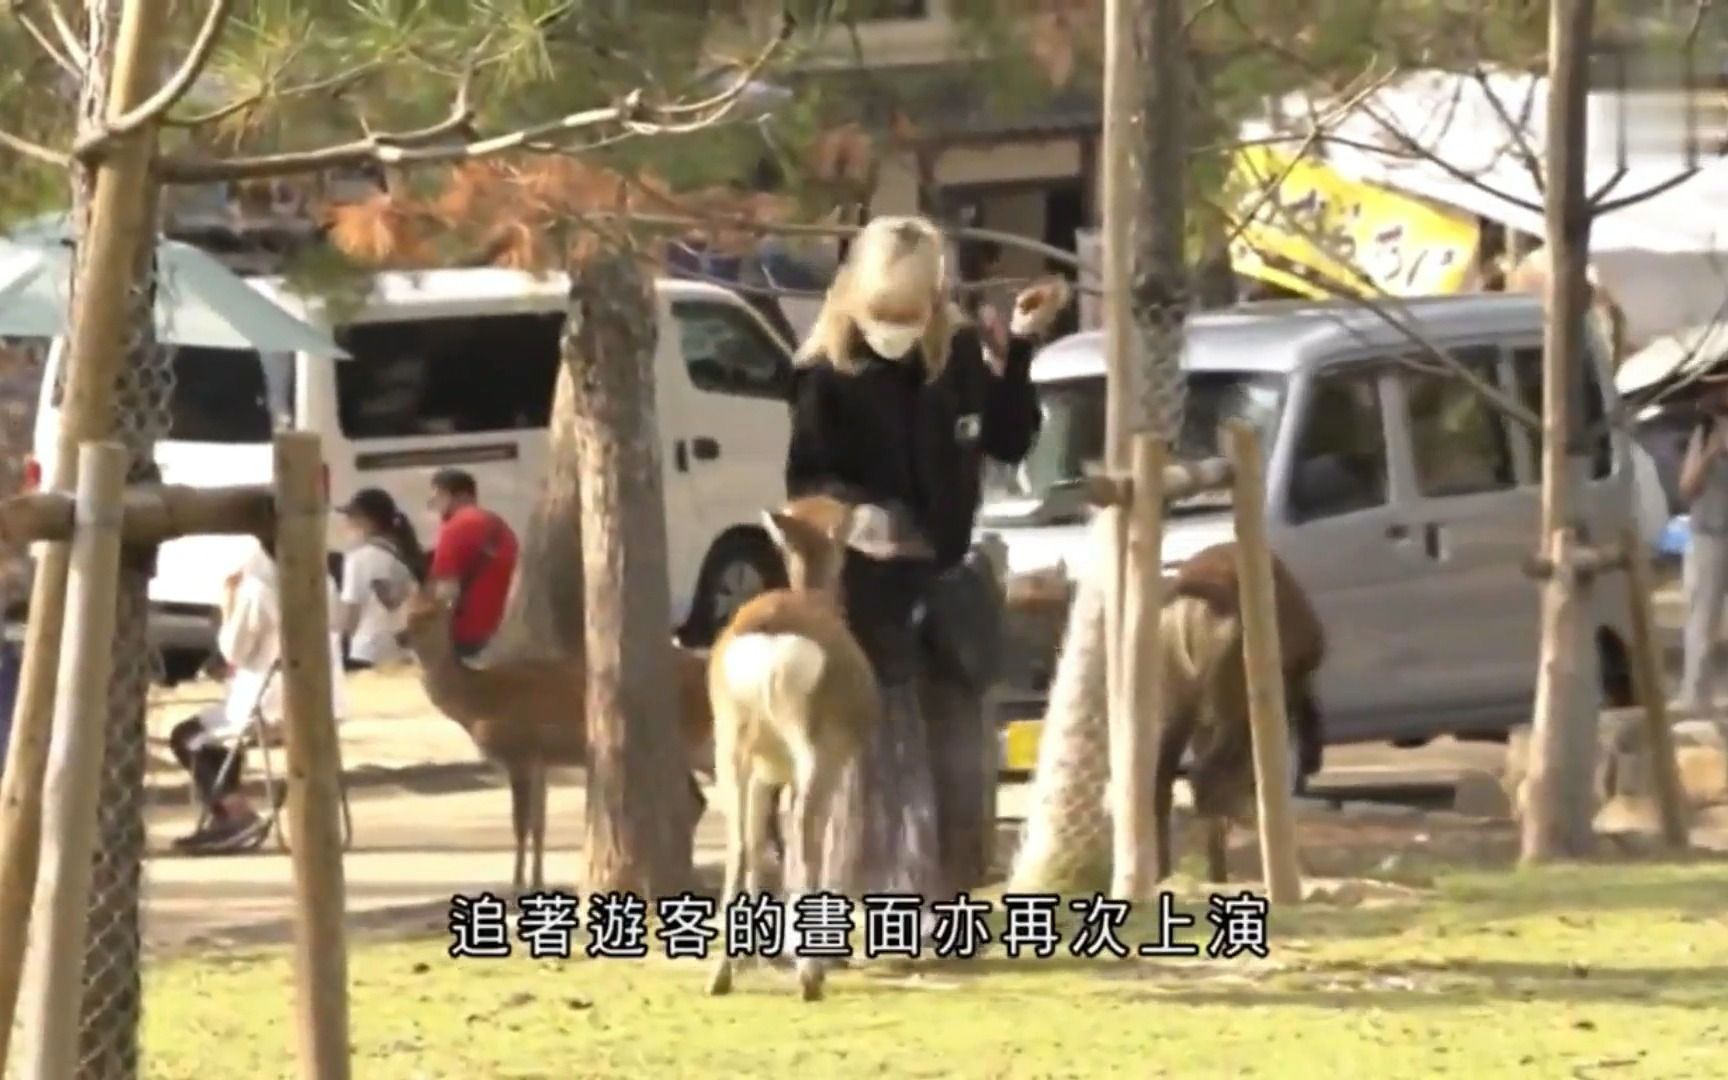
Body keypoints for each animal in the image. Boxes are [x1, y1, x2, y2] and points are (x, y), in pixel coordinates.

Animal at [400, 590, 711, 891]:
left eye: (430, 614)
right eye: (406, 609)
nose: (400, 635)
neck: (478, 703)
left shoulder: (519, 753)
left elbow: (520, 822)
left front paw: (517, 883)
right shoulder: (541, 759)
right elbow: (539, 824)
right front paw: (537, 880)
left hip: (691, 743)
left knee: (695, 801)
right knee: (697, 802)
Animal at [708, 497, 884, 1002]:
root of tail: (768, 640)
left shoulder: (770, 771)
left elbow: (764, 842)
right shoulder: (843, 759)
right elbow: (823, 837)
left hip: (731, 741)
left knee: (740, 841)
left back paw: (721, 972)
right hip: (813, 742)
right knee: (805, 828)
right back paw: (811, 974)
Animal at [1154, 539, 1327, 884]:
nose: (1315, 758)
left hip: (1177, 696)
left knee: (1162, 780)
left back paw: (1166, 875)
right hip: (1230, 696)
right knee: (1205, 778)